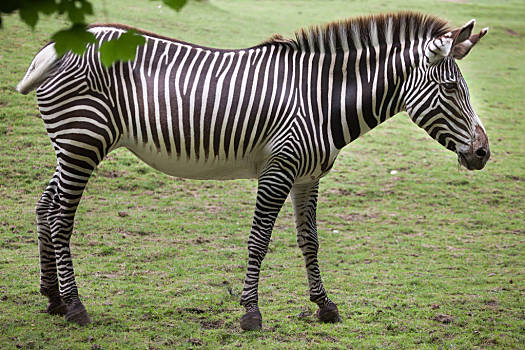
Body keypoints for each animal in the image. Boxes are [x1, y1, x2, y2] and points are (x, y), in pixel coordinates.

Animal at [17, 12, 492, 330]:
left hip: (70, 146)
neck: (322, 102)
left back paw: (53, 299)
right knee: (60, 217)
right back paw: (75, 306)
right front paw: (250, 312)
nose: (484, 153)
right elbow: (259, 240)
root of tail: (52, 46)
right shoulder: (278, 169)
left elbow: (310, 242)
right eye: (451, 88)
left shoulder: (307, 177)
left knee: (44, 207)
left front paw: (325, 306)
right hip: (83, 142)